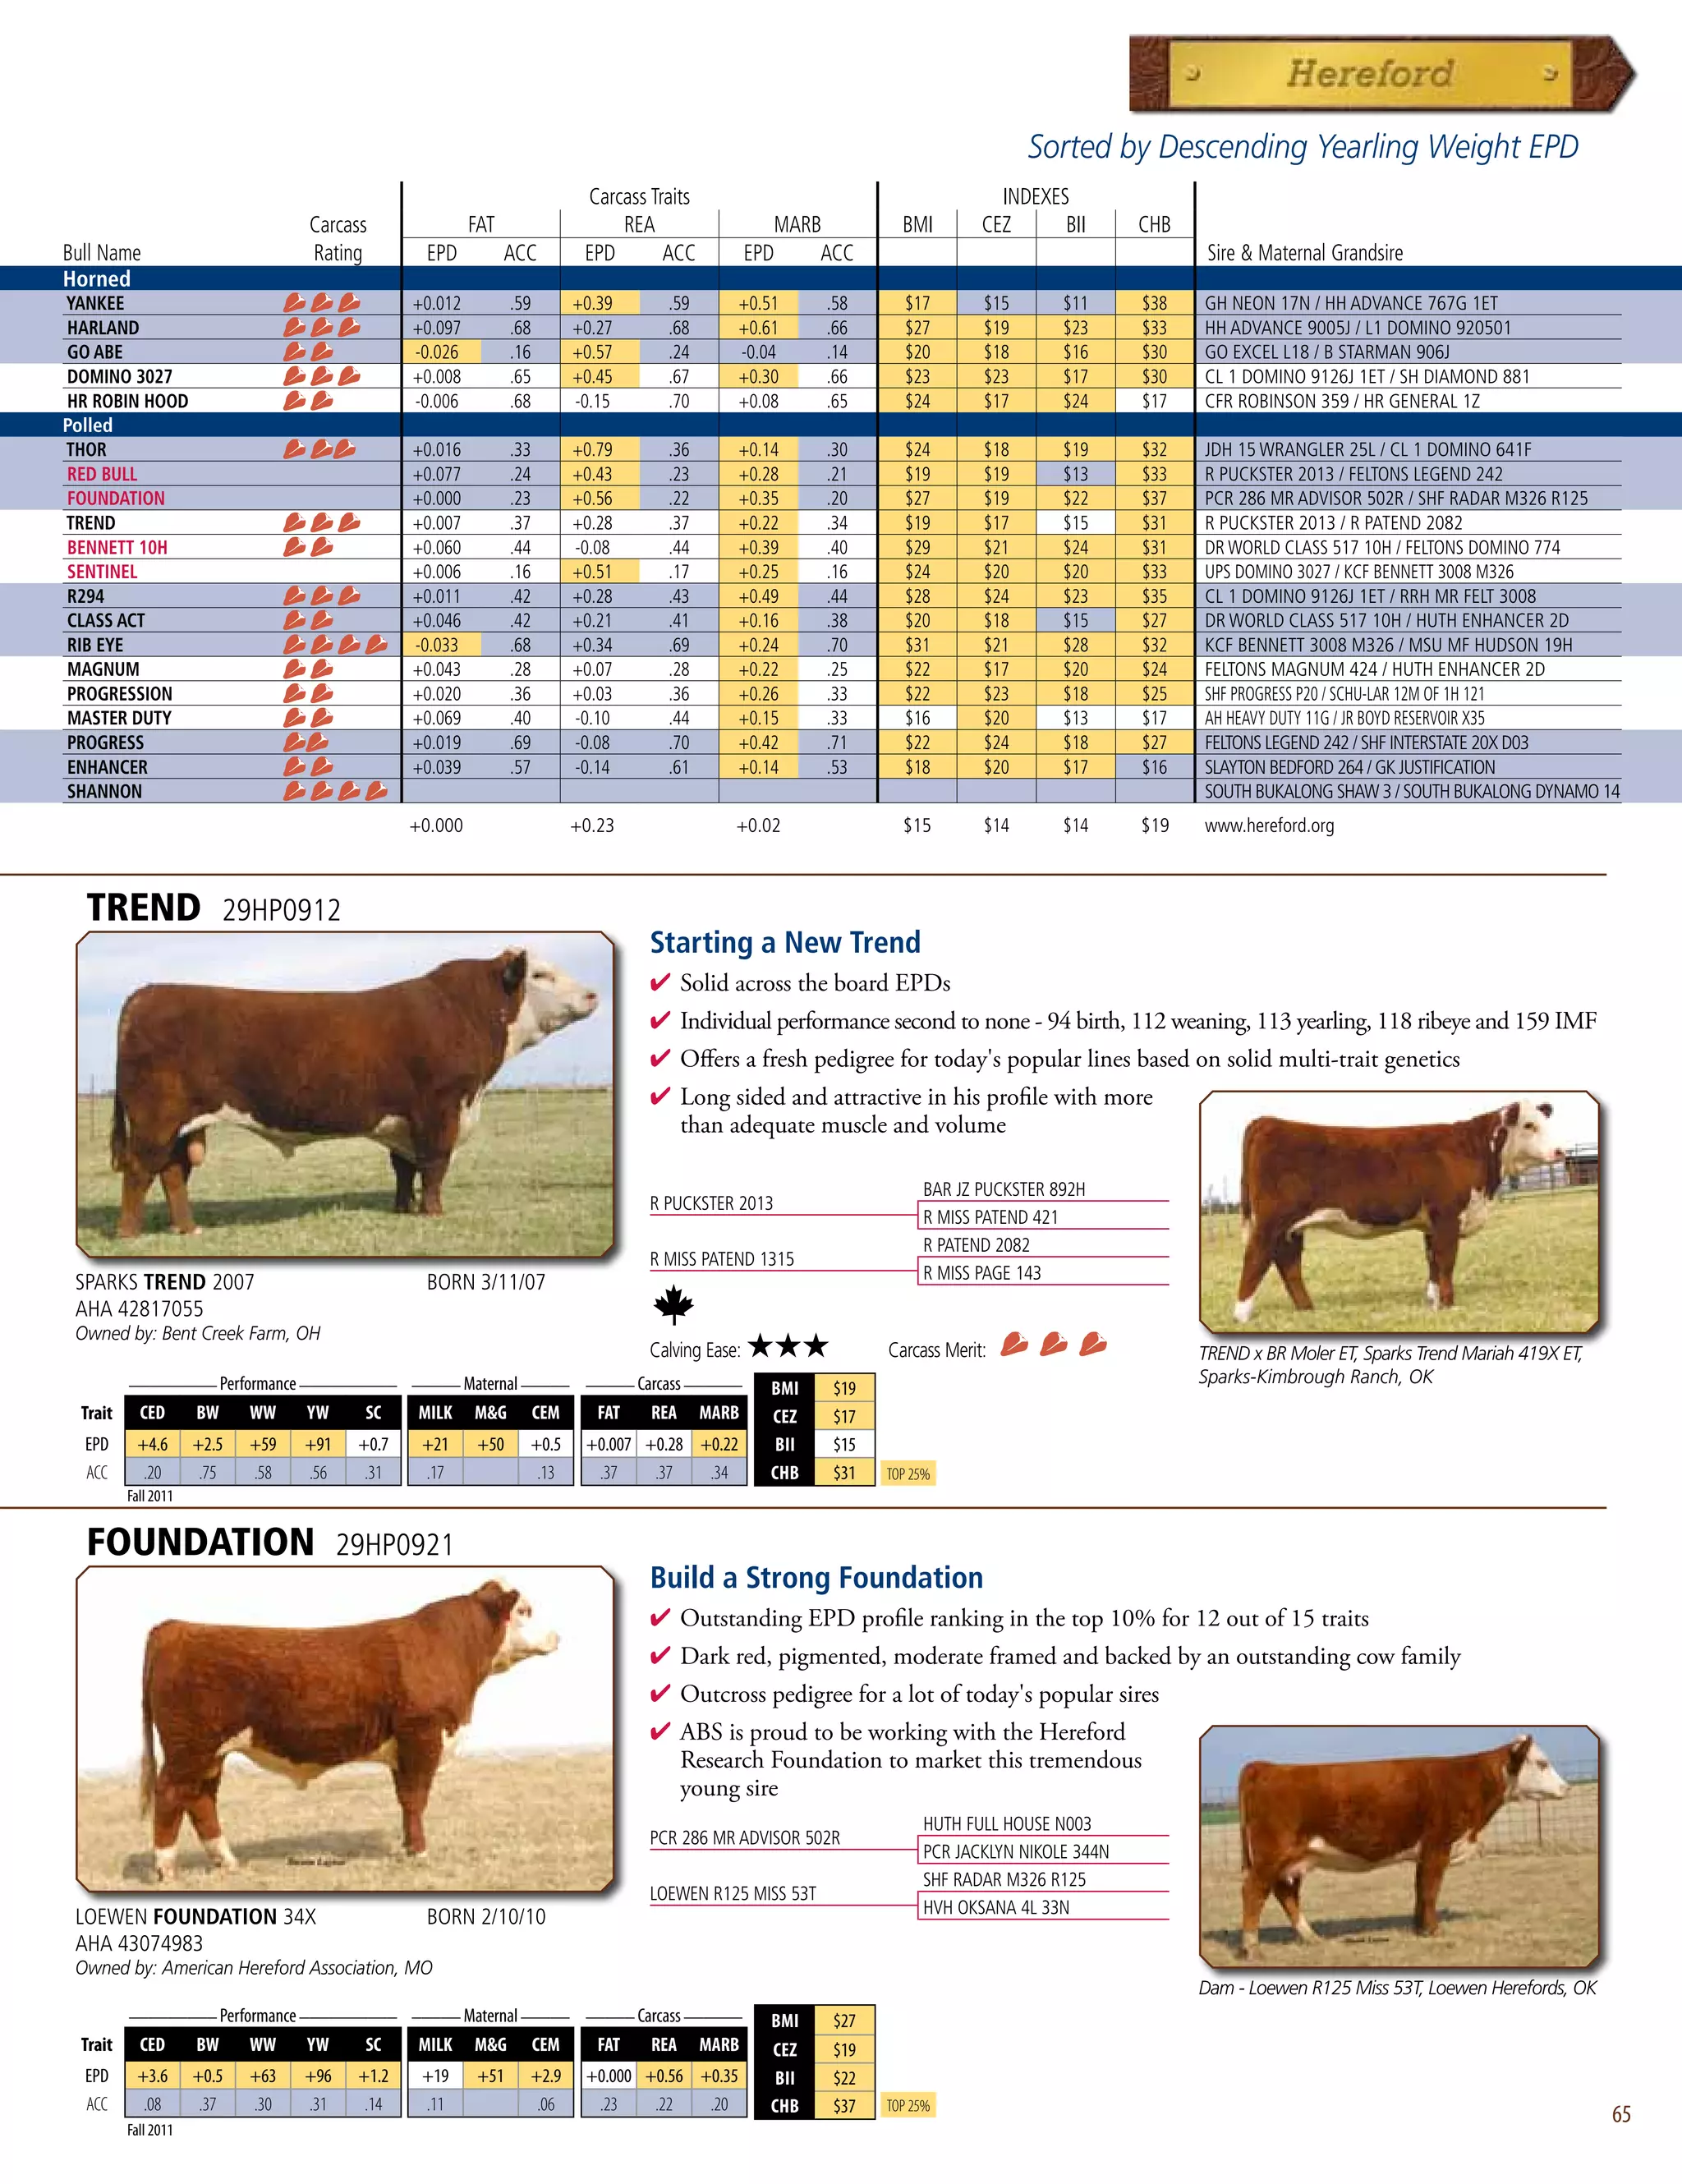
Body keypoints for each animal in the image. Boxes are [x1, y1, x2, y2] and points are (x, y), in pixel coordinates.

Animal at [109, 946, 598, 1234]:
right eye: (541, 974)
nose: (594, 994)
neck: (464, 1011)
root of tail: (146, 993)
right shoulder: (440, 1108)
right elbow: (434, 1165)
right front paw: (433, 1213)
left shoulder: (406, 1119)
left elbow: (405, 1167)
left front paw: (404, 1209)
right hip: (154, 1118)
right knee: (139, 1170)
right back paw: (129, 1234)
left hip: (180, 1125)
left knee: (173, 1173)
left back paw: (188, 1229)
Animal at [138, 1580, 558, 1880]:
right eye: (525, 1610)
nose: (557, 1636)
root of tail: (174, 1627)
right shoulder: (422, 1735)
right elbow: (417, 1799)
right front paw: (421, 1853)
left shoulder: (402, 1748)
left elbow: (405, 1800)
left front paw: (408, 1848)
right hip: (188, 1747)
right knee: (171, 1794)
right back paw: (166, 1869)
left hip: (209, 1753)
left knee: (201, 1800)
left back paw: (227, 1862)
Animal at [1232, 1099, 1569, 1321]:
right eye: (1529, 1125)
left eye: (1545, 1122)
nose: (1560, 1151)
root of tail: (1267, 1121)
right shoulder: (1447, 1216)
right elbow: (1447, 1262)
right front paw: (1449, 1305)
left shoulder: (1433, 1223)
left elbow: (1433, 1263)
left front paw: (1434, 1302)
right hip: (1270, 1221)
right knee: (1255, 1259)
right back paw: (1242, 1315)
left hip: (1292, 1228)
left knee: (1288, 1264)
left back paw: (1307, 1310)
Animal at [1234, 1736, 1570, 1961]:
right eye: (1542, 1763)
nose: (1567, 1788)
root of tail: (1267, 1767)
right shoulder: (1438, 1845)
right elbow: (1431, 1890)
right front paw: (1434, 1931)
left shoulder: (1425, 1853)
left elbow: (1421, 1890)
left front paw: (1419, 1928)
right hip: (1270, 1854)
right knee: (1253, 1891)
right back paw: (1252, 1947)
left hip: (1294, 1858)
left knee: (1285, 1893)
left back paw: (1311, 1937)